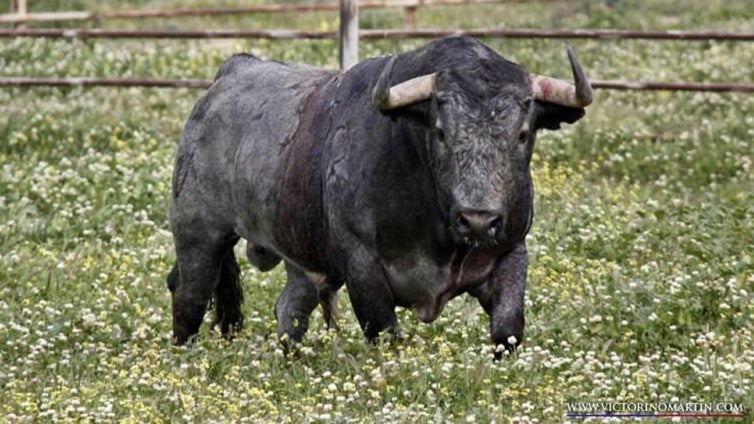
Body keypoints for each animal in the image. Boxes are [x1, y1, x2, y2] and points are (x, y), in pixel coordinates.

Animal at [167, 36, 592, 352]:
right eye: (441, 131)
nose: (478, 220)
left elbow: (508, 329)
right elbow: (384, 331)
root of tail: (233, 71)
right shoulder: (363, 265)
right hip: (200, 236)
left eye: (522, 133)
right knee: (188, 294)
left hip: (301, 259)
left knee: (290, 308)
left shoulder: (510, 252)